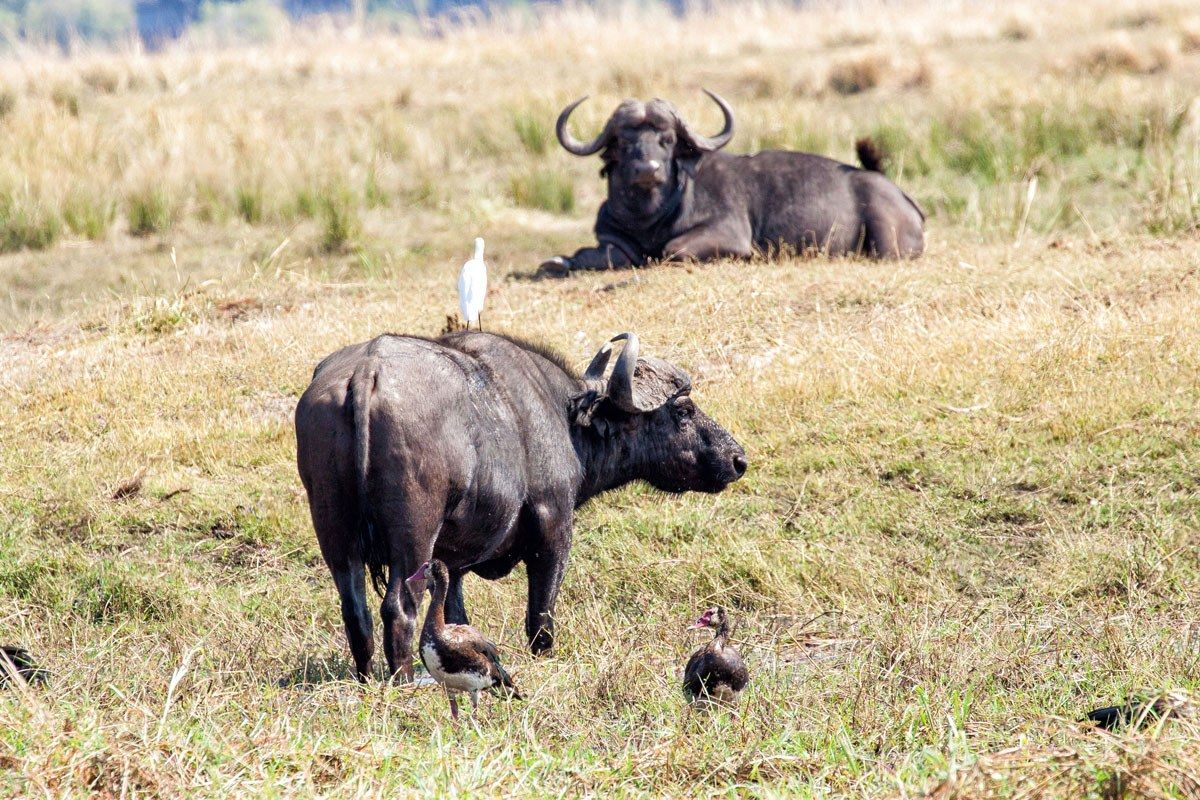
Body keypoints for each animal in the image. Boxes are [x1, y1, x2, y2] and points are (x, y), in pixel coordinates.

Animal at [292, 328, 739, 681]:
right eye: (683, 410)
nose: (738, 459)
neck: (566, 419)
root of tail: (366, 372)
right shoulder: (554, 527)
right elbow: (541, 612)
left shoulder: (451, 562)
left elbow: (454, 615)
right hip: (413, 536)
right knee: (399, 608)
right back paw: (401, 679)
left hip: (335, 535)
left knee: (355, 611)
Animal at [542, 91, 926, 275]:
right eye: (623, 142)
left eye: (666, 139)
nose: (647, 169)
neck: (650, 217)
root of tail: (904, 198)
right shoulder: (612, 240)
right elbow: (594, 255)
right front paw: (556, 263)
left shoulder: (727, 234)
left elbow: (672, 249)